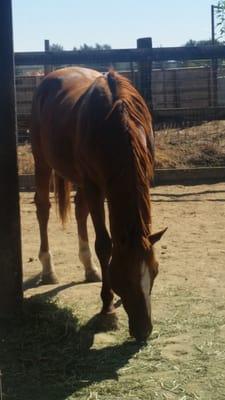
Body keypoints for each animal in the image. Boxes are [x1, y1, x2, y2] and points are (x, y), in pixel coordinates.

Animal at [30, 66, 166, 340]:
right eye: (125, 278)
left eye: (155, 271)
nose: (144, 330)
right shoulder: (95, 185)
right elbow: (104, 245)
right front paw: (107, 311)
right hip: (42, 160)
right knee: (43, 209)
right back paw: (48, 269)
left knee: (80, 210)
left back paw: (89, 268)